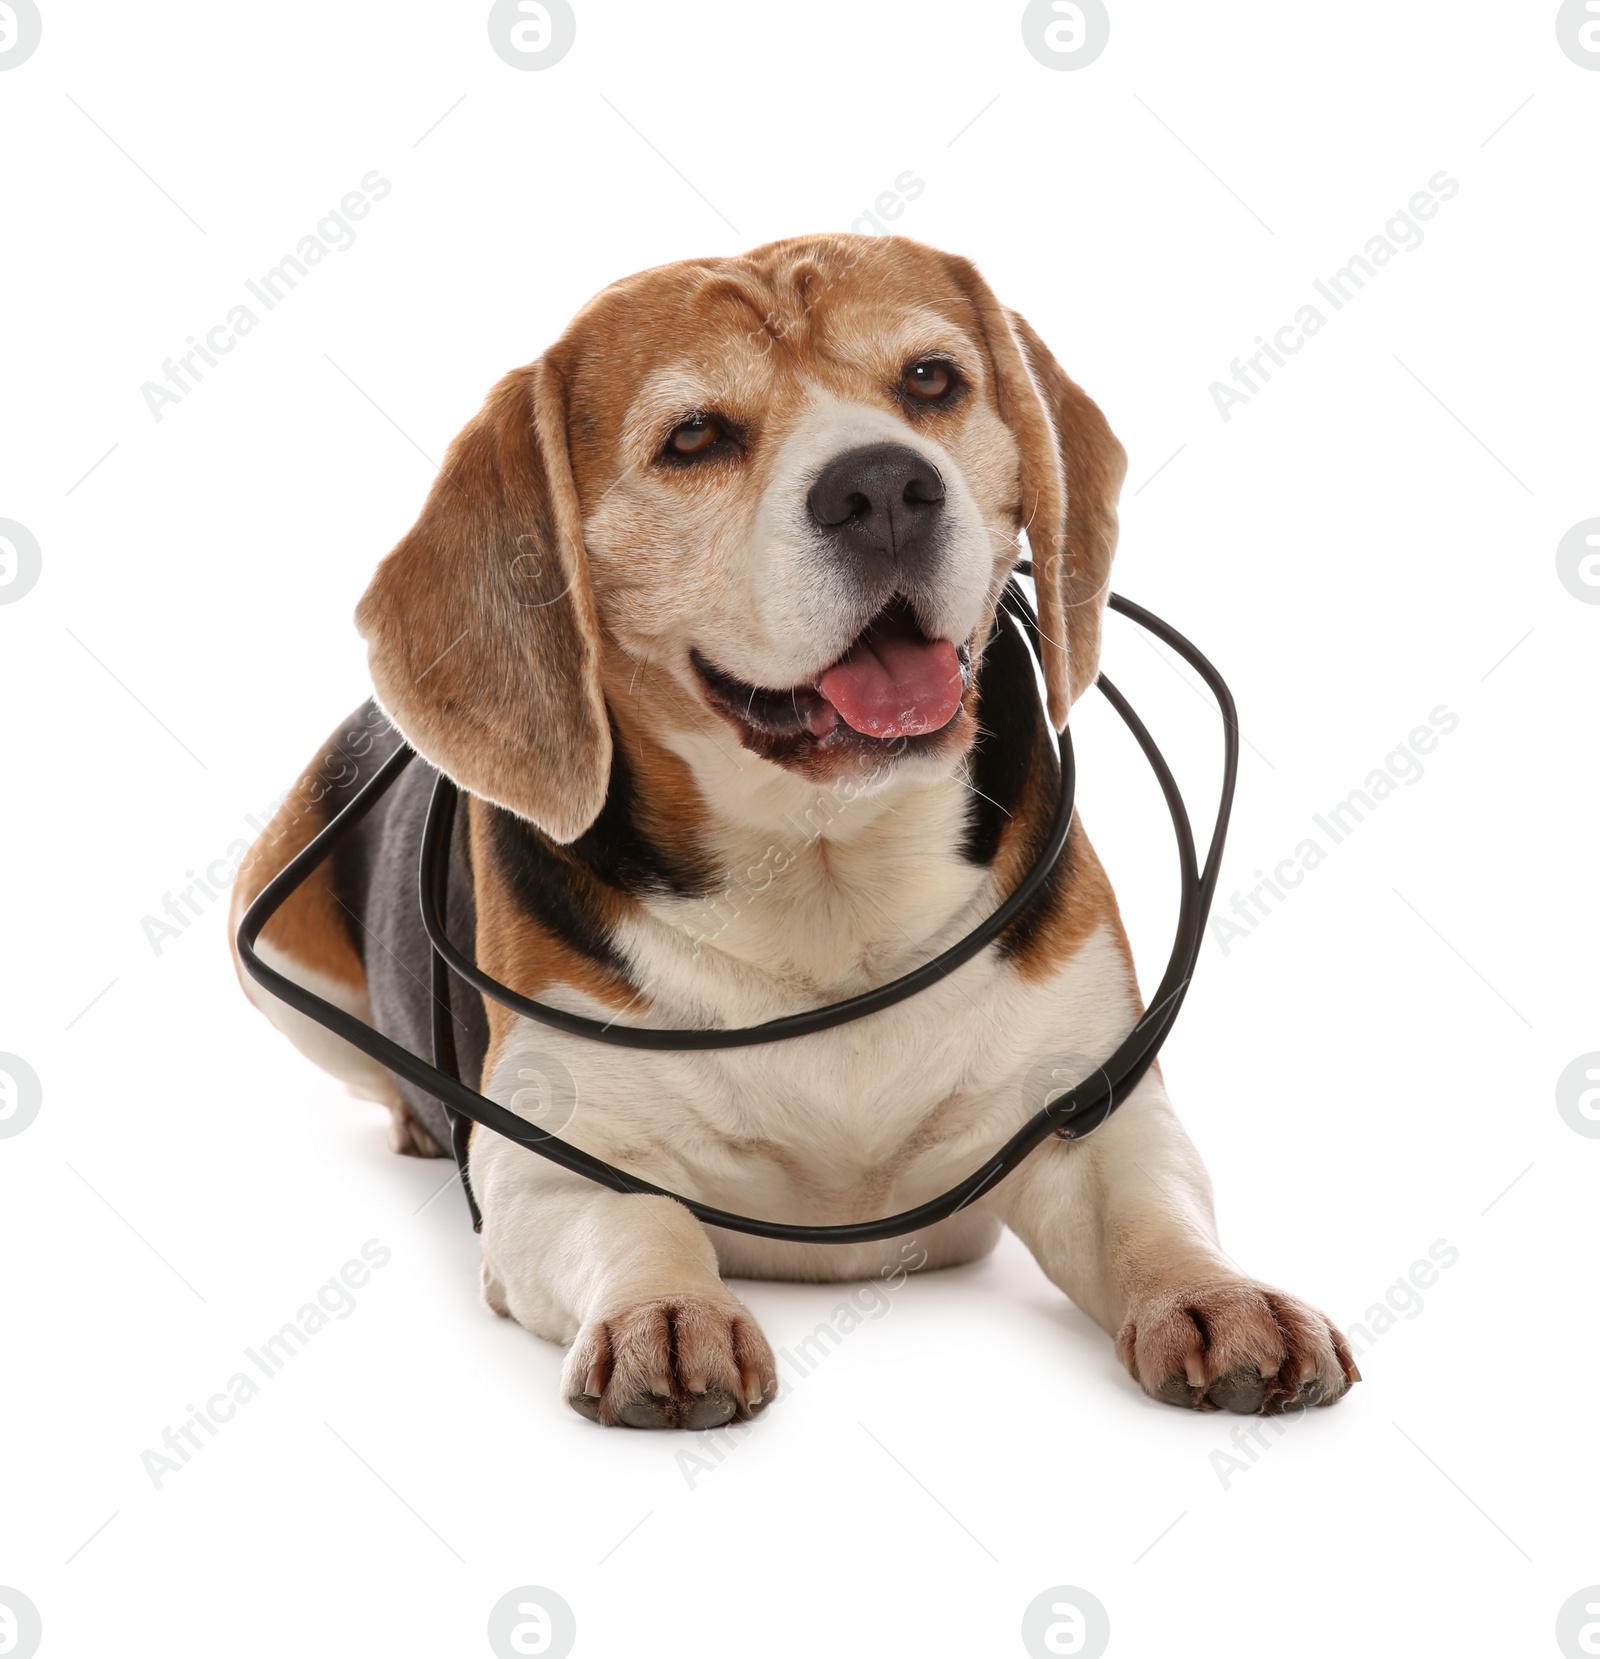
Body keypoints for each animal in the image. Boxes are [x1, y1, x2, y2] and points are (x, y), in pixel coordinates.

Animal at [230, 233, 1354, 1426]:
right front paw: (666, 1314)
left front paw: (1218, 1297)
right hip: (274, 954)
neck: (828, 875)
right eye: (693, 437)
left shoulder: (1097, 1111)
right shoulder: (552, 1163)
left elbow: (1152, 1210)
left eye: (930, 381)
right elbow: (642, 1215)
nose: (885, 486)